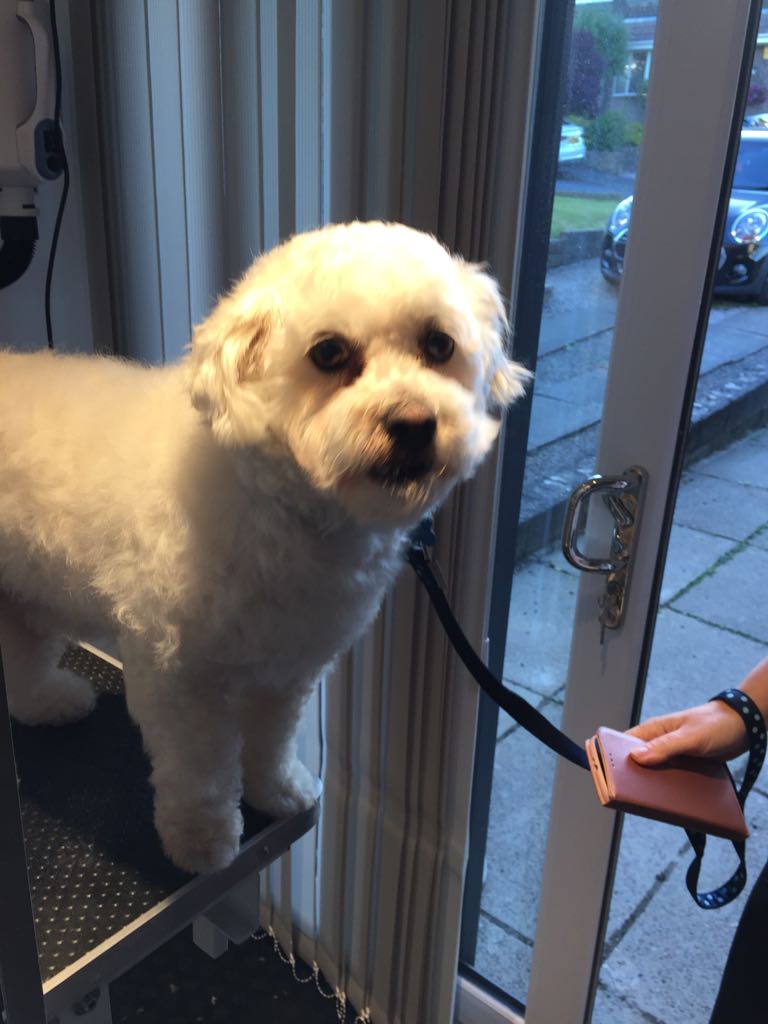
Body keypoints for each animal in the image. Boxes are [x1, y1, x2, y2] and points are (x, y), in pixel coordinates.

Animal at [0, 221, 528, 873]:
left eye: (438, 344)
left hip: (22, 592)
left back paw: (45, 701)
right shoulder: (180, 676)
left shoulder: (289, 666)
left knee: (23, 650)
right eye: (328, 353)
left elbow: (272, 740)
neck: (277, 511)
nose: (412, 423)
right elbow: (200, 772)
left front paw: (277, 791)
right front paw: (202, 840)